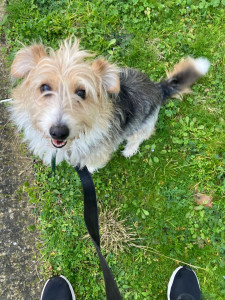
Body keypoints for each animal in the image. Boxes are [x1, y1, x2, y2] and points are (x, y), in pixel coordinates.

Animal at [10, 38, 210, 172]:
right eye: (44, 87)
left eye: (81, 92)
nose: (58, 132)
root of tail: (158, 88)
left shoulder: (97, 152)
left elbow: (92, 164)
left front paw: (89, 169)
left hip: (142, 125)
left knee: (140, 137)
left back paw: (129, 150)